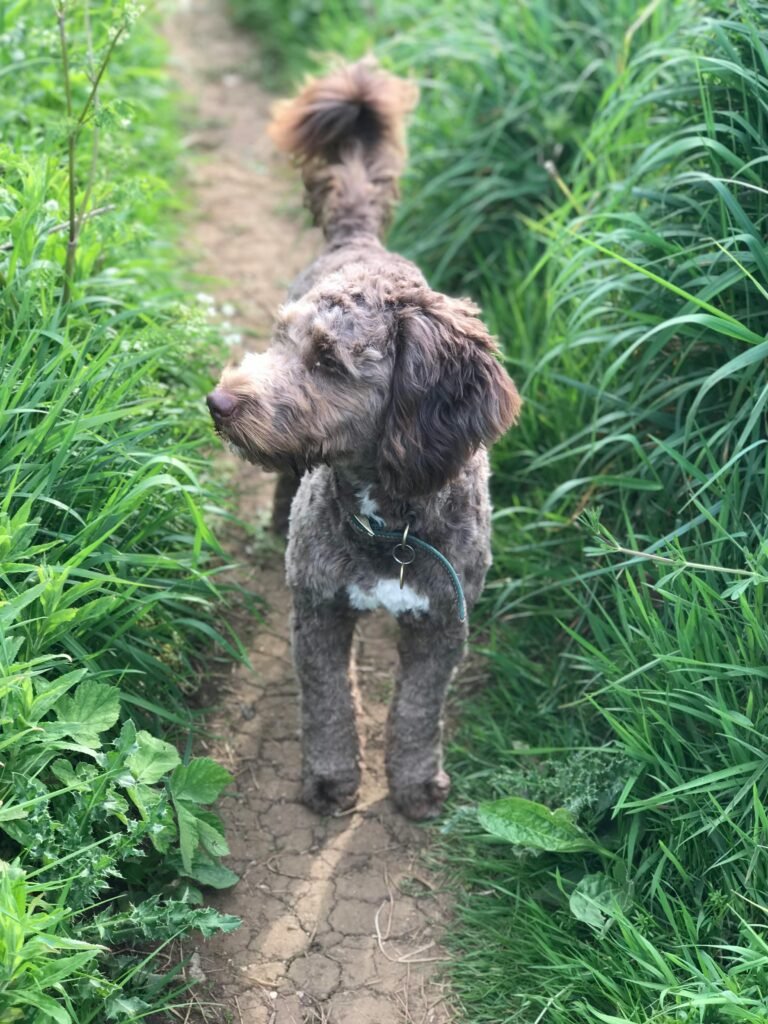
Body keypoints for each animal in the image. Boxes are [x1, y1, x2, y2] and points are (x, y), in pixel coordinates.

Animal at [205, 59, 524, 819]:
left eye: (328, 360)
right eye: (281, 340)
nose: (219, 402)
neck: (393, 523)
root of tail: (360, 240)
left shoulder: (443, 625)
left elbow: (417, 710)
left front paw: (415, 784)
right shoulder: (319, 612)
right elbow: (328, 704)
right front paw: (330, 780)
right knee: (287, 479)